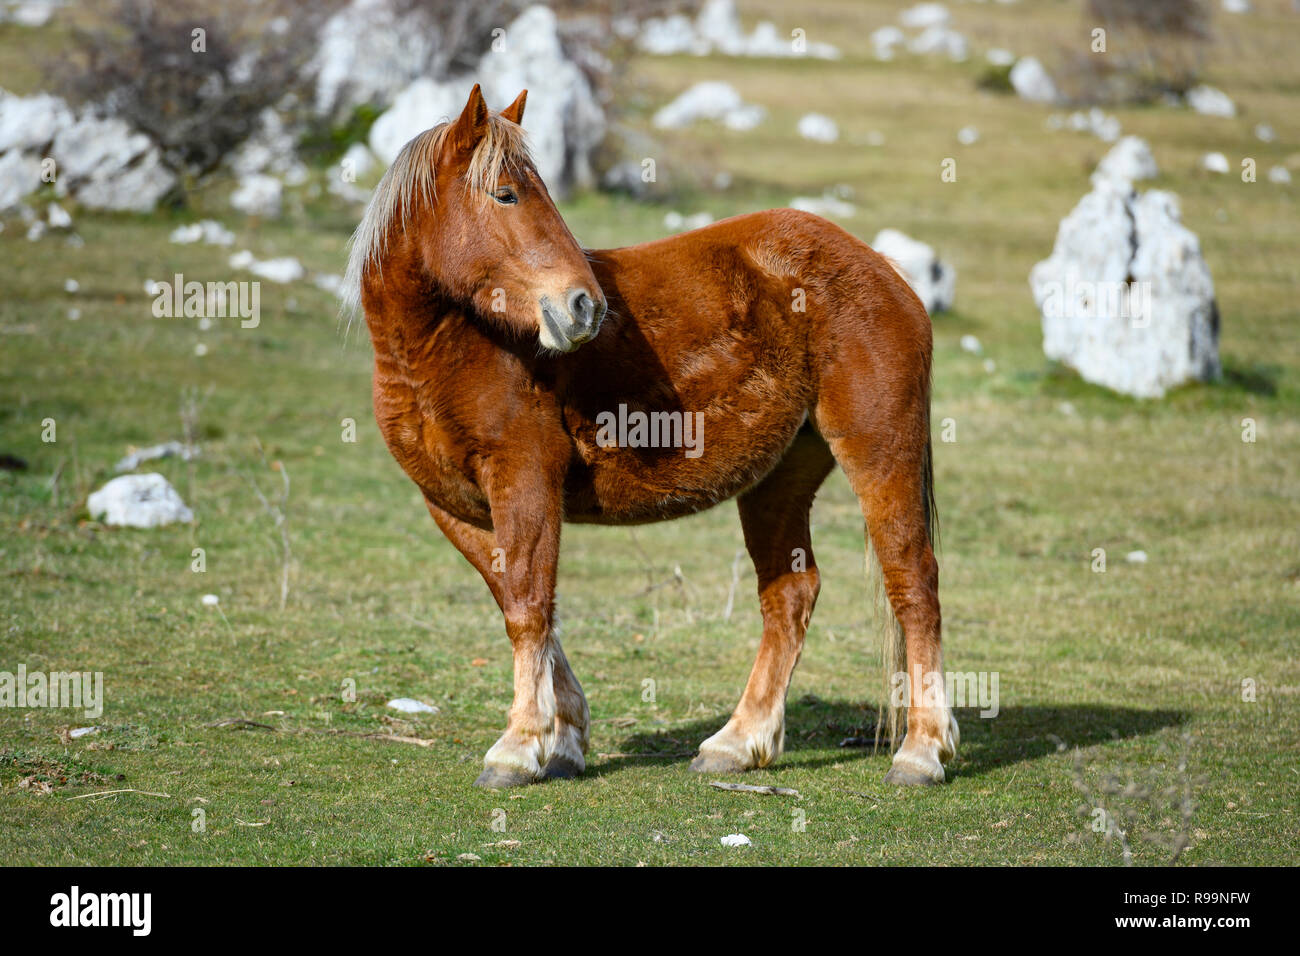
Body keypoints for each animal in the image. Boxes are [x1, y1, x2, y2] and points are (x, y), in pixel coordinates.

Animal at [345, 84, 957, 788]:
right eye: (506, 194)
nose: (584, 307)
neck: (449, 347)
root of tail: (883, 271)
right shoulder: (452, 506)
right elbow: (523, 603)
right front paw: (563, 734)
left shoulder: (523, 478)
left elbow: (528, 607)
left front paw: (519, 746)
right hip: (778, 482)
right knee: (790, 596)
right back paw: (736, 742)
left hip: (880, 454)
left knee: (913, 583)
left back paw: (922, 749)